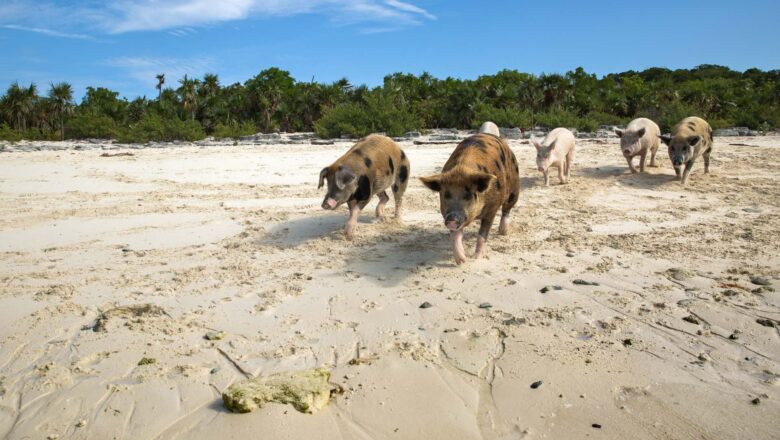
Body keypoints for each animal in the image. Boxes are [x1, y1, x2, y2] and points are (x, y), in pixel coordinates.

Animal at [418, 134, 520, 264]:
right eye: (446, 195)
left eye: (468, 195)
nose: (452, 219)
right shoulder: (447, 213)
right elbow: (455, 236)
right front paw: (462, 261)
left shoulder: (492, 209)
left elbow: (482, 234)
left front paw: (477, 258)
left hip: (514, 189)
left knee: (507, 210)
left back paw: (503, 232)